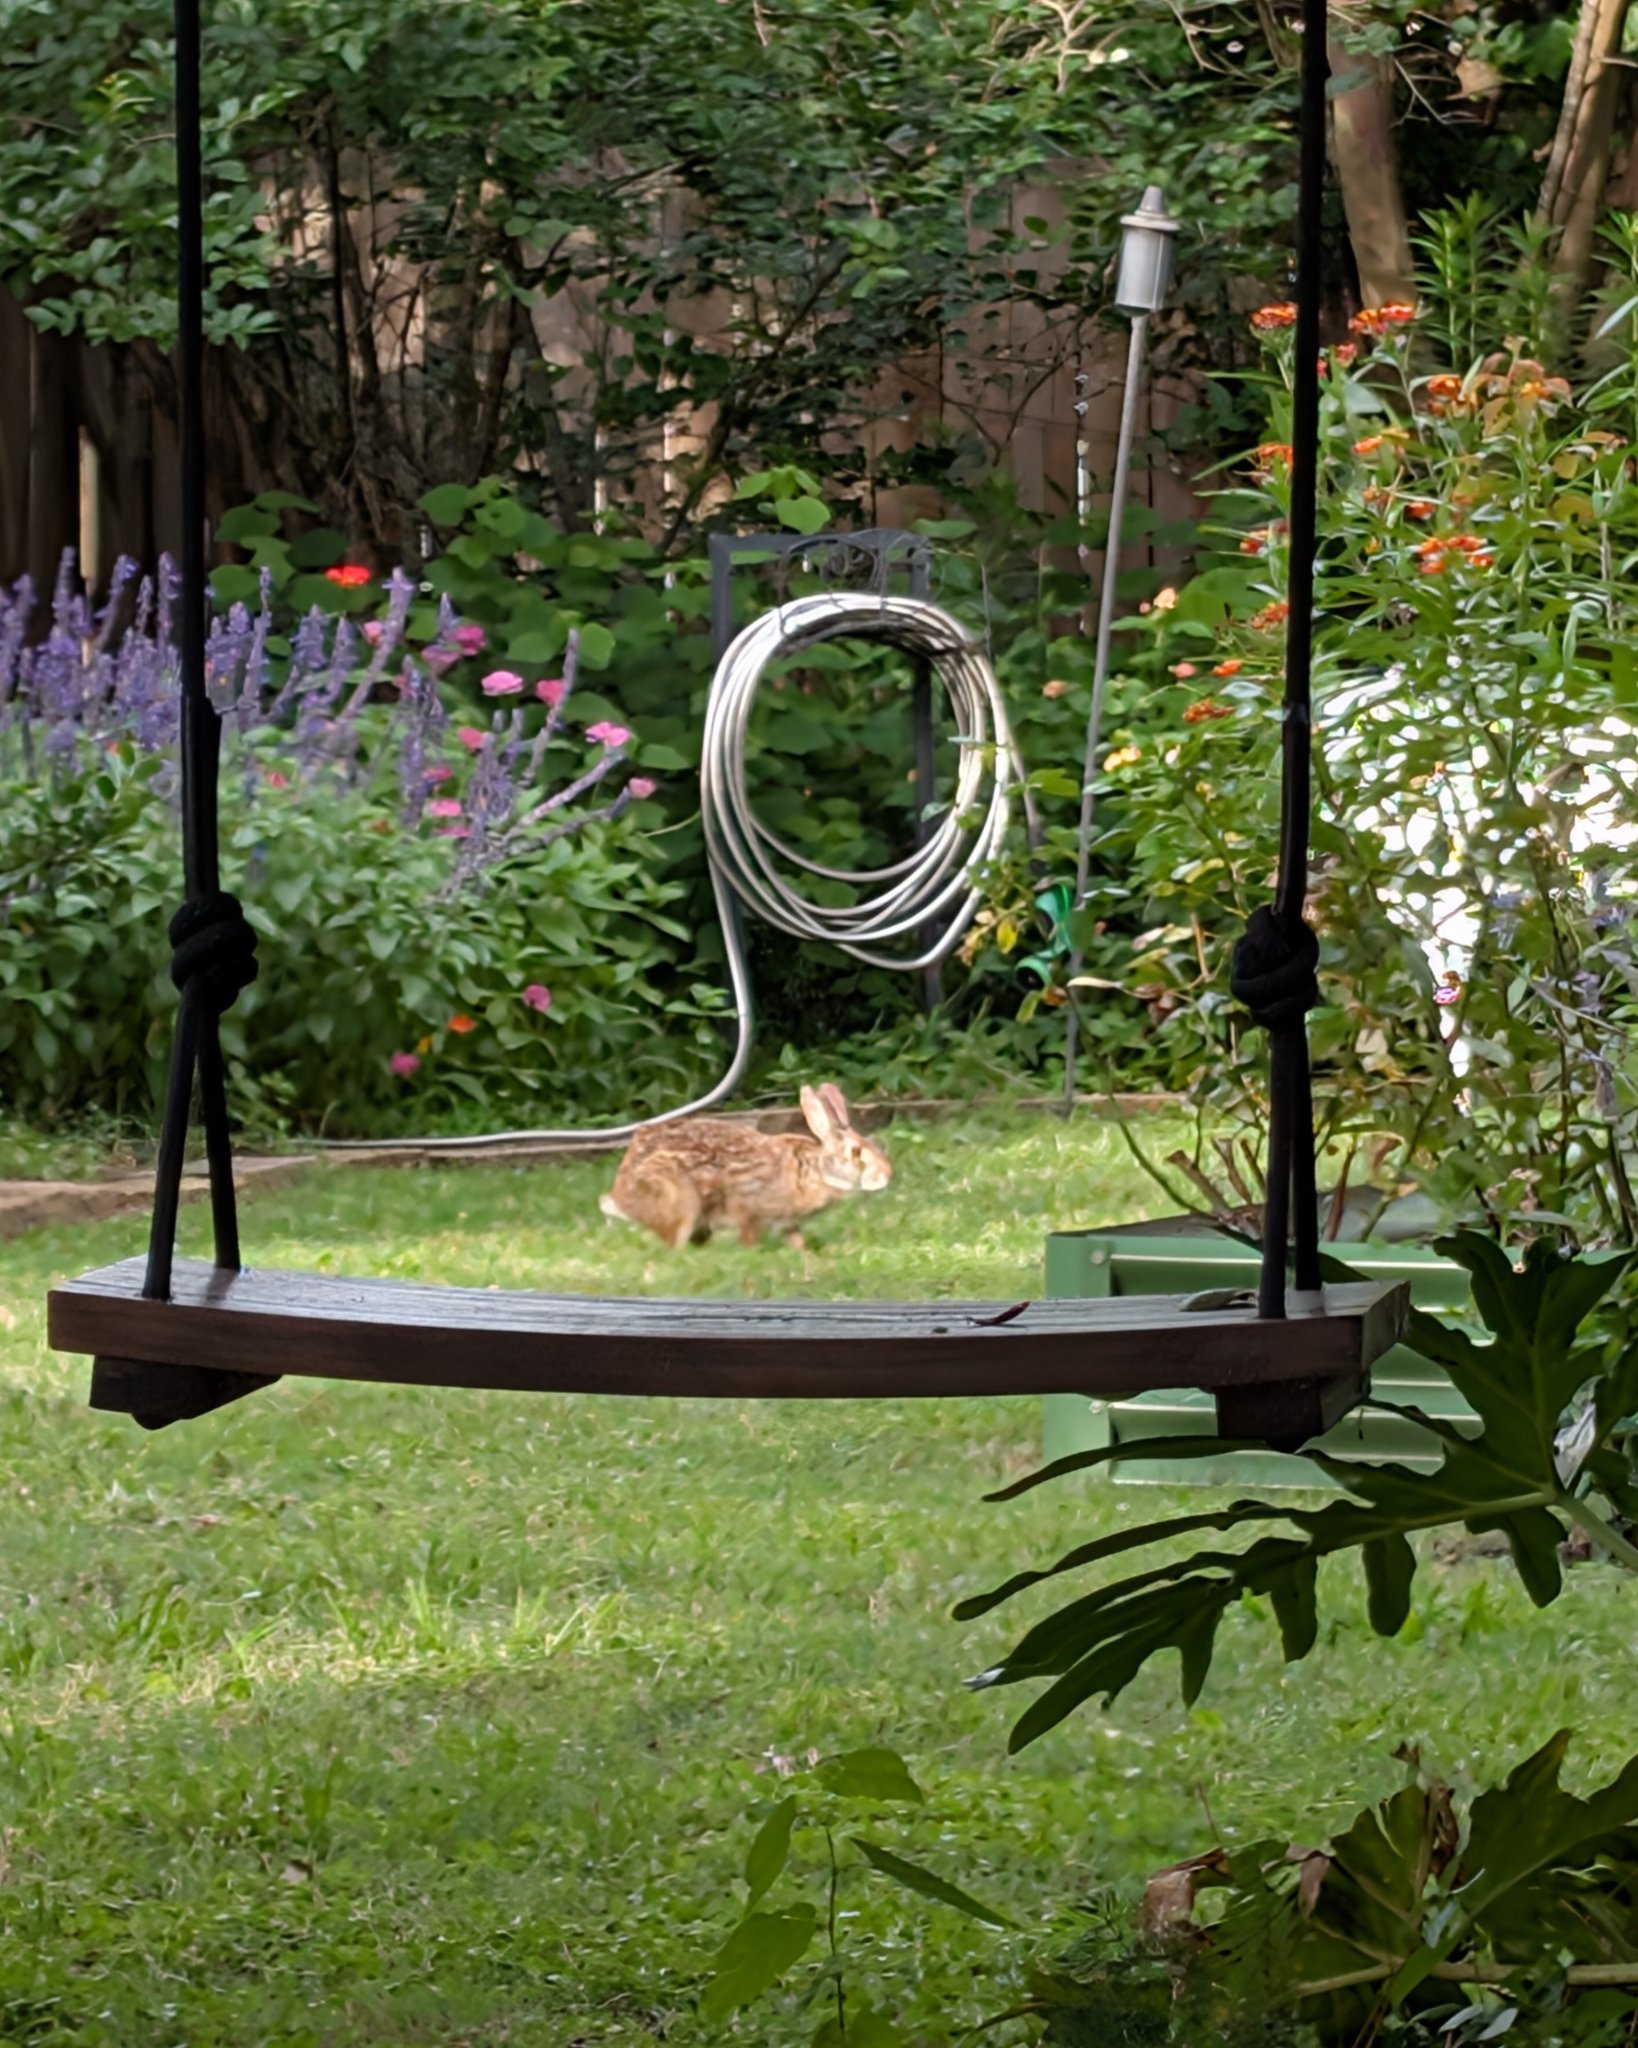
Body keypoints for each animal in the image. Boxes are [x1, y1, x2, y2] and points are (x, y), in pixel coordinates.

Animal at [599, 1084, 892, 1249]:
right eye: (856, 1152)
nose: (887, 1174)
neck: (816, 1170)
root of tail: (620, 1195)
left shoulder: (787, 1223)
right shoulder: (749, 1210)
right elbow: (749, 1236)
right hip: (678, 1199)